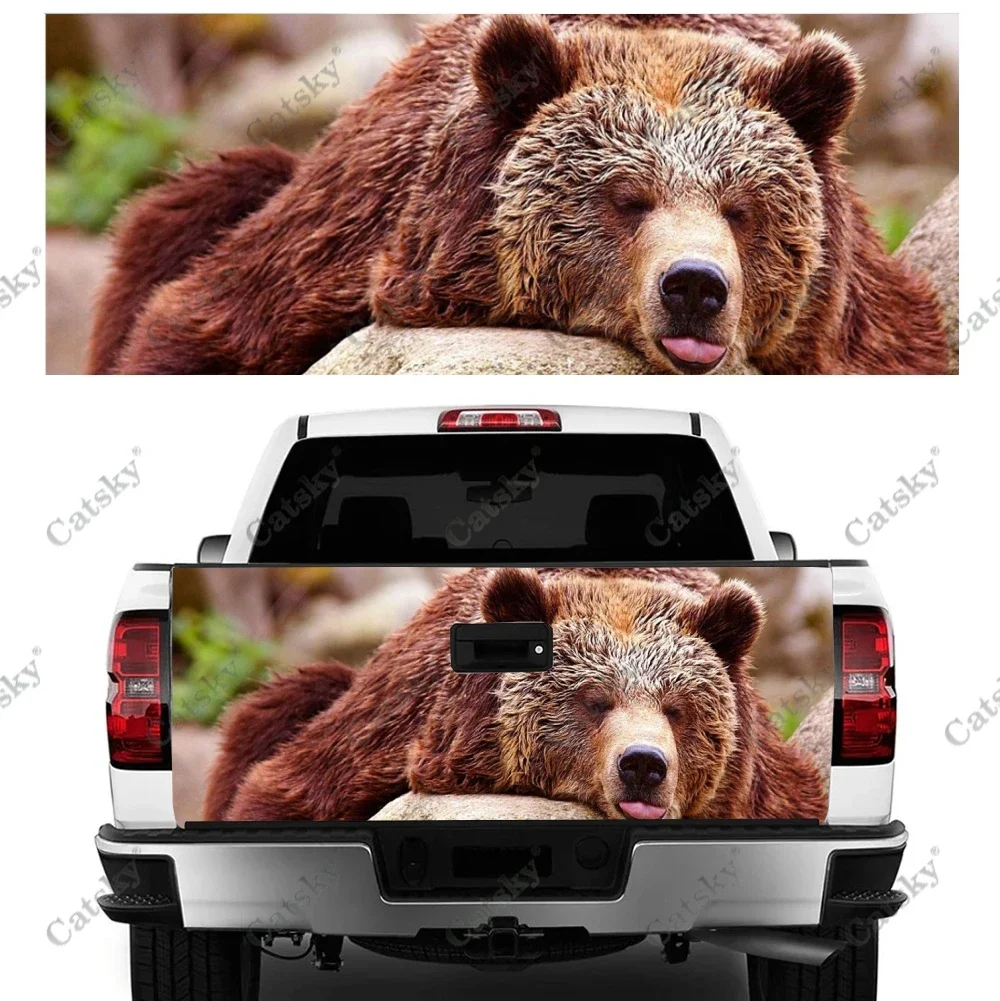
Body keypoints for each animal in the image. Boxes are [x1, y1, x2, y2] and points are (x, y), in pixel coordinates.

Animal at [87, 14, 948, 376]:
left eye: (742, 209)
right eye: (627, 197)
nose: (695, 288)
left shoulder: (851, 326)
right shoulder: (351, 241)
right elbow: (201, 329)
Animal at [207, 567, 828, 824]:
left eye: (677, 709)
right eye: (595, 700)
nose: (643, 765)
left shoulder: (757, 785)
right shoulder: (396, 728)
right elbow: (285, 791)